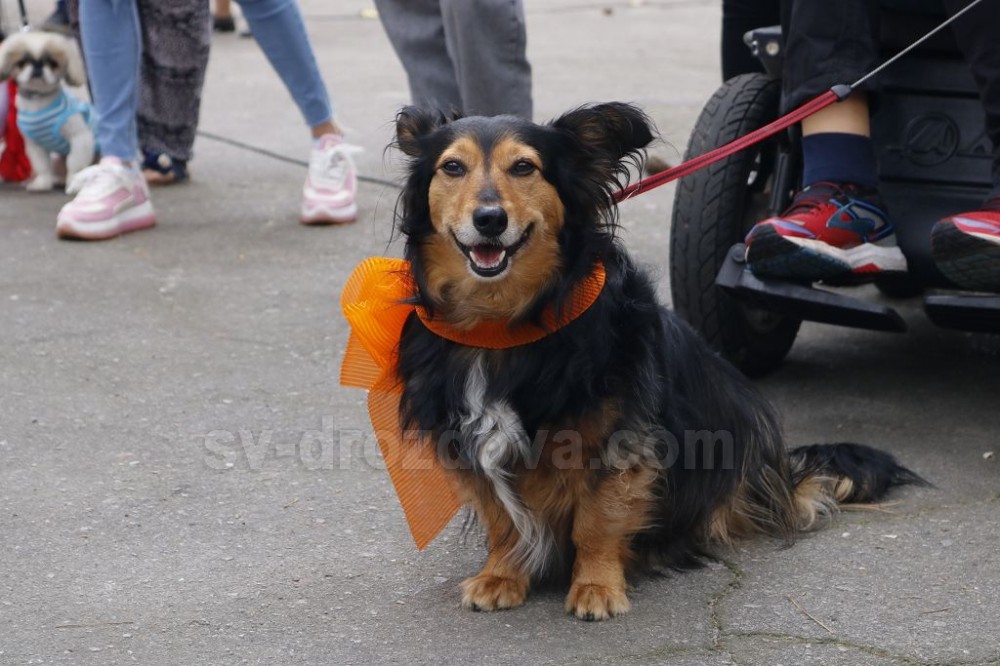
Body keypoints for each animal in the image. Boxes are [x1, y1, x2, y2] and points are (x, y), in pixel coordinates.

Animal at [0, 32, 96, 191]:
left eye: (52, 63)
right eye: (22, 62)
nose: (37, 66)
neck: (39, 103)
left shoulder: (80, 138)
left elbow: (74, 163)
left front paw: (73, 182)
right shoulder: (35, 145)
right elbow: (42, 166)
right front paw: (43, 183)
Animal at [384, 101, 920, 620]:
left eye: (524, 167)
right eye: (452, 167)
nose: (489, 220)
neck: (502, 322)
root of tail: (779, 477)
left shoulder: (619, 439)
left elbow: (597, 520)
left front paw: (597, 586)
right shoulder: (466, 437)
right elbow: (501, 518)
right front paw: (502, 575)